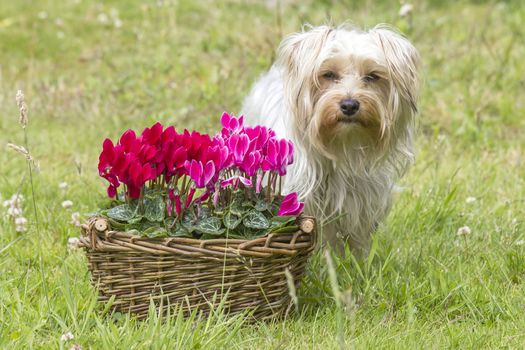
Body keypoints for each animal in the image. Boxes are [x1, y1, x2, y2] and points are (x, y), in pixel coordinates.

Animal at [243, 25, 422, 254]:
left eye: (372, 76)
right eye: (328, 74)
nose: (349, 105)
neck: (343, 145)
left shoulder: (362, 203)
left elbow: (357, 243)